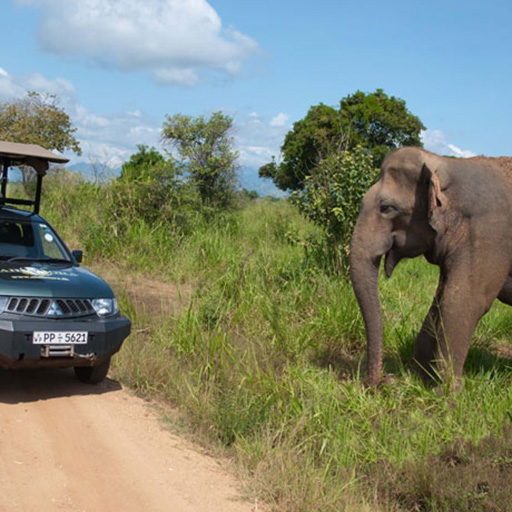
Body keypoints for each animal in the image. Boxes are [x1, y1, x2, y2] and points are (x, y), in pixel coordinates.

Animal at [350, 146, 512, 386]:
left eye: (386, 208)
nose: (385, 380)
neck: (447, 164)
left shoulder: (490, 235)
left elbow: (463, 302)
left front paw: (444, 391)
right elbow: (439, 300)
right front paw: (418, 378)